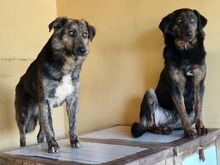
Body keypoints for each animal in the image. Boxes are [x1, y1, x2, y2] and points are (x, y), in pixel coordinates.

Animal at [14, 16, 95, 152]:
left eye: (85, 35)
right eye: (71, 33)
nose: (83, 50)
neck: (67, 63)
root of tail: (19, 83)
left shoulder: (73, 100)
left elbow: (73, 124)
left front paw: (74, 141)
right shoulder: (46, 102)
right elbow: (50, 129)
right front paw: (53, 145)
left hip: (42, 113)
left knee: (40, 134)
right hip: (25, 114)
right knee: (22, 136)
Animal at [131, 8, 207, 139]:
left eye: (193, 19)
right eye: (179, 21)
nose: (189, 34)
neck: (185, 51)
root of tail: (168, 120)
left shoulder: (199, 85)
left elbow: (199, 109)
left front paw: (200, 128)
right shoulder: (175, 87)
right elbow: (182, 111)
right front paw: (189, 131)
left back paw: (168, 128)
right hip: (149, 94)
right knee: (151, 124)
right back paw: (161, 129)